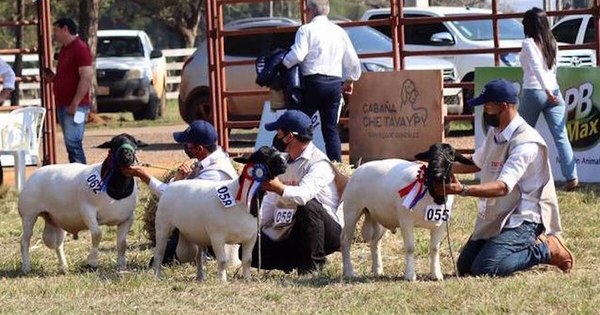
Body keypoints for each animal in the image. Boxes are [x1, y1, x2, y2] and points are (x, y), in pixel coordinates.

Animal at [17, 134, 141, 274]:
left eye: (135, 143)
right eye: (113, 143)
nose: (127, 154)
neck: (116, 190)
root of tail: (35, 174)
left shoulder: (128, 218)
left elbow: (122, 243)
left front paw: (121, 265)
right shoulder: (87, 211)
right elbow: (97, 234)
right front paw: (92, 262)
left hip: (57, 220)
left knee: (58, 244)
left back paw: (64, 267)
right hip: (28, 214)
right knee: (25, 240)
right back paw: (26, 267)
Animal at [154, 147, 288, 282]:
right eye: (264, 155)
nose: (284, 164)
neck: (241, 200)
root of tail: (169, 187)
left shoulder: (251, 237)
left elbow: (247, 260)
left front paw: (247, 279)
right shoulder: (217, 236)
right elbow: (223, 261)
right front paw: (223, 281)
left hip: (198, 234)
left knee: (198, 257)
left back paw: (200, 277)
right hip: (163, 226)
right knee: (159, 253)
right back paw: (157, 275)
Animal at [338, 143, 474, 282]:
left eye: (451, 153)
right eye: (430, 154)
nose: (435, 169)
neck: (433, 193)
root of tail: (359, 168)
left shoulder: (440, 224)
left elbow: (435, 248)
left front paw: (436, 274)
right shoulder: (406, 221)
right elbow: (410, 248)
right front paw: (410, 275)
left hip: (379, 215)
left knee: (375, 242)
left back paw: (378, 270)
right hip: (352, 209)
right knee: (345, 240)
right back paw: (349, 272)